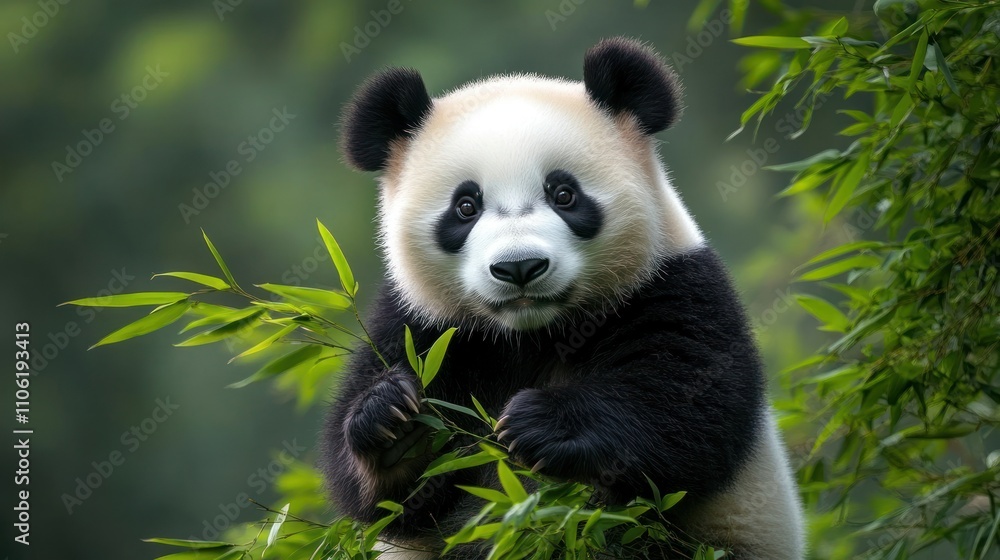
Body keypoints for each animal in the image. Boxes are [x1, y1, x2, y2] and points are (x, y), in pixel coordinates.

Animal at [320, 37, 805, 560]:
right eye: (465, 206)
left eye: (564, 194)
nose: (519, 267)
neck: (535, 332)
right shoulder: (424, 324)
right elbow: (386, 499)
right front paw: (394, 424)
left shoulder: (672, 285)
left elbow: (686, 407)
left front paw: (541, 423)